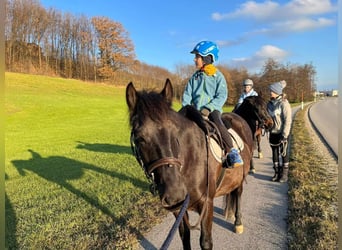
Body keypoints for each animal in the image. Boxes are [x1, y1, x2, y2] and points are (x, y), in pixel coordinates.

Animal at [126, 80, 268, 250]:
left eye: (175, 133)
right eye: (139, 138)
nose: (175, 193)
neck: (189, 162)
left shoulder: (206, 204)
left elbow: (205, 242)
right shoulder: (179, 209)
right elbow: (184, 235)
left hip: (240, 177)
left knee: (238, 193)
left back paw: (238, 222)